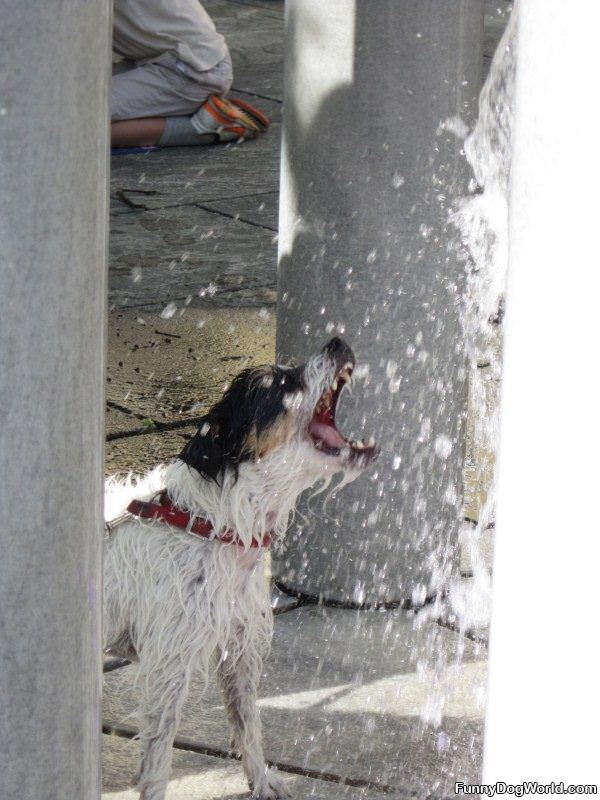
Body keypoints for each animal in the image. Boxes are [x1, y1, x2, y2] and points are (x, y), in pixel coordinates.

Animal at [103, 338, 376, 800]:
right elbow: (157, 760)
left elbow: (249, 725)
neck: (212, 526)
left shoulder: (240, 647)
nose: (338, 341)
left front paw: (262, 782)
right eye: (280, 384)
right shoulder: (169, 665)